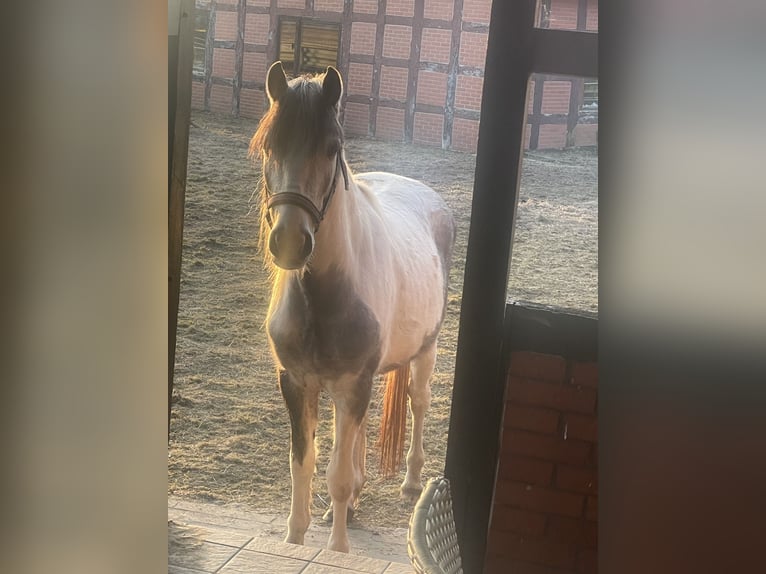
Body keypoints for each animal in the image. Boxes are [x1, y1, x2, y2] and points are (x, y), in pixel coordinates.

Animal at [249, 61, 455, 553]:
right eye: (269, 146)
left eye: (332, 148)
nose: (290, 241)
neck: (322, 298)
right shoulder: (297, 383)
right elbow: (303, 466)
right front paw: (296, 536)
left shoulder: (353, 384)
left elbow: (337, 475)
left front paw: (338, 549)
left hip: (424, 351)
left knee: (419, 402)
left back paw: (411, 483)